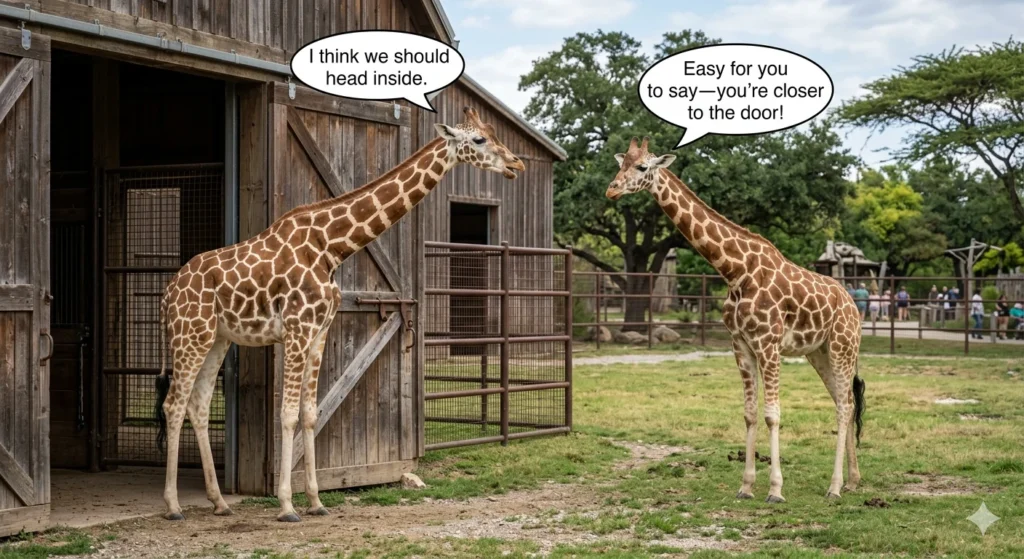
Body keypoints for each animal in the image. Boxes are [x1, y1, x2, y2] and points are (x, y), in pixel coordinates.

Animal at [154, 107, 525, 522]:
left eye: (494, 134)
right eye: (478, 139)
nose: (517, 163)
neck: (331, 247)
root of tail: (168, 293)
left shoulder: (320, 332)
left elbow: (310, 414)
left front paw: (316, 501)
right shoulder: (297, 328)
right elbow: (287, 414)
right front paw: (287, 505)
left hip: (216, 338)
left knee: (198, 405)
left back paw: (218, 502)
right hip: (190, 334)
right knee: (173, 404)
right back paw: (173, 506)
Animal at [605, 137, 865, 503]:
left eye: (642, 167)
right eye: (620, 164)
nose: (611, 190)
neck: (734, 271)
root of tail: (853, 305)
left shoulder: (769, 345)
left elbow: (772, 415)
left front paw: (776, 490)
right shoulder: (740, 344)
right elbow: (750, 413)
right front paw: (746, 486)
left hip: (843, 347)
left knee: (843, 406)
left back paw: (835, 487)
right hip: (819, 352)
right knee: (848, 402)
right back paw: (853, 480)